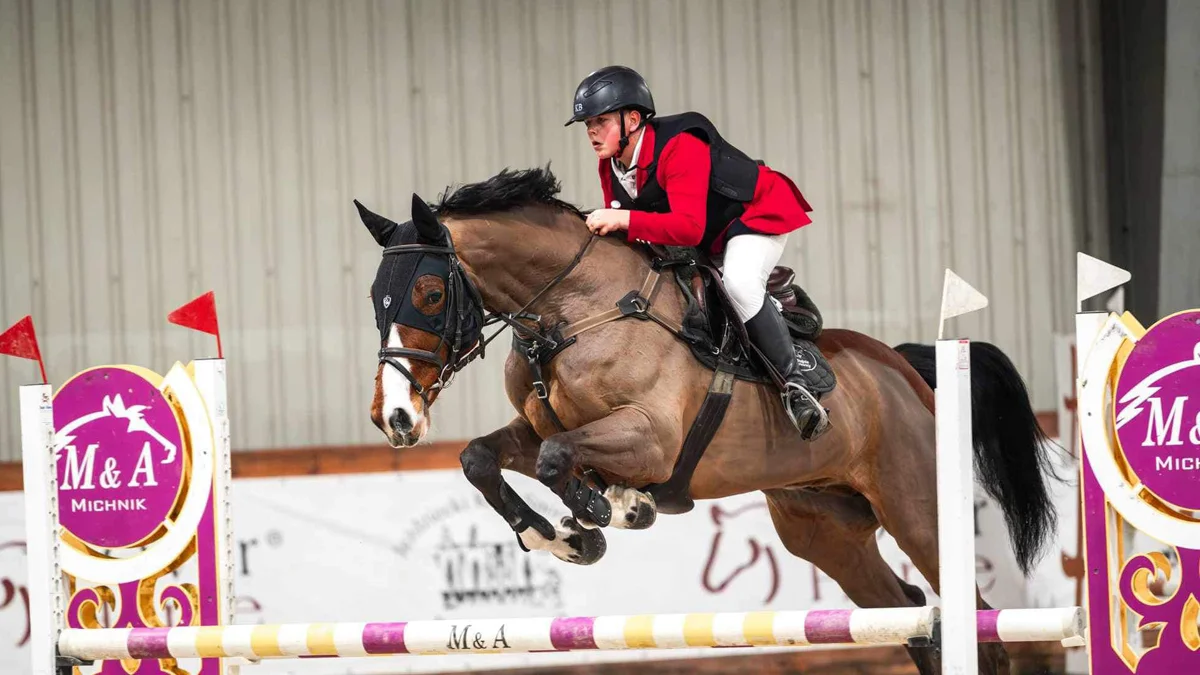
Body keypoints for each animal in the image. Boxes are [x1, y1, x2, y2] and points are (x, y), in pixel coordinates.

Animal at [355, 164, 1060, 672]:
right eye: (375, 298)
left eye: (430, 293)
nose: (395, 417)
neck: (569, 309)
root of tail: (906, 373)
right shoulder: (539, 430)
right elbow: (483, 457)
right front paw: (564, 539)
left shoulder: (652, 439)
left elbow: (563, 463)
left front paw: (616, 509)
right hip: (824, 530)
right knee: (912, 614)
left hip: (918, 510)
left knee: (978, 619)